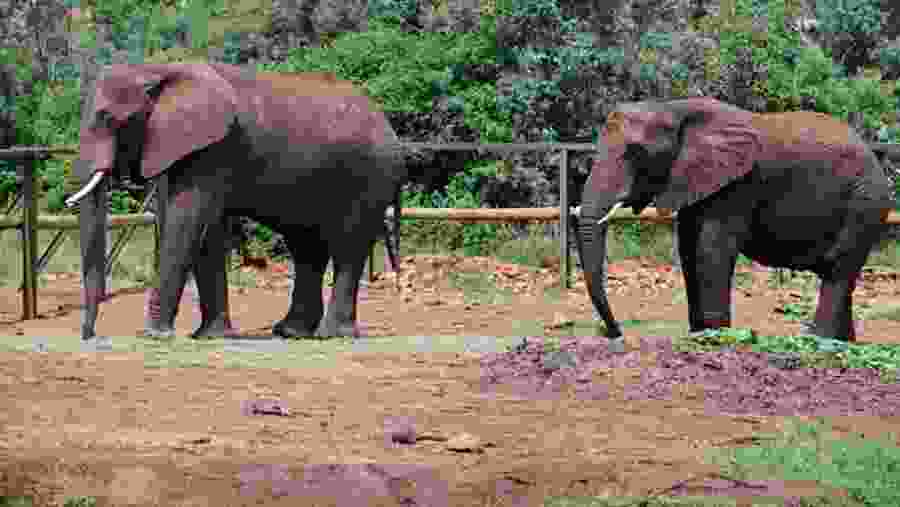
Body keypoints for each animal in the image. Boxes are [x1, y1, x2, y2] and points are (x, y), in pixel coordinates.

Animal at [67, 63, 408, 341]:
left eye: (106, 118)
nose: (90, 335)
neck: (155, 69)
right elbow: (205, 229)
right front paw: (210, 337)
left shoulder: (211, 149)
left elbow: (188, 222)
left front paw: (154, 335)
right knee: (306, 246)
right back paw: (291, 332)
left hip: (370, 176)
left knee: (348, 244)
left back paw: (332, 335)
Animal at [576, 97, 895, 344]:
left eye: (636, 153)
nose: (614, 332)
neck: (673, 108)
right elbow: (688, 250)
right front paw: (700, 334)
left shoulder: (737, 184)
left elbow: (712, 248)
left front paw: (718, 337)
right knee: (841, 275)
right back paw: (845, 344)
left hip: (865, 203)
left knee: (838, 270)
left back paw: (819, 342)